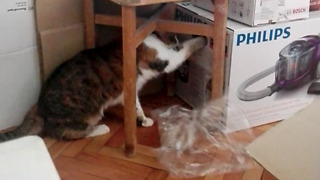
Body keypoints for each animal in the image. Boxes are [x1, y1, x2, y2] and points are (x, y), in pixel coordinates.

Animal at [0, 33, 206, 141]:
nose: (174, 41)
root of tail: (39, 105)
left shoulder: (130, 90)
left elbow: (136, 105)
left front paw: (143, 119)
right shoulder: (165, 59)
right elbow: (187, 48)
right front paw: (201, 38)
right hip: (84, 113)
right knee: (66, 131)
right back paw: (100, 129)